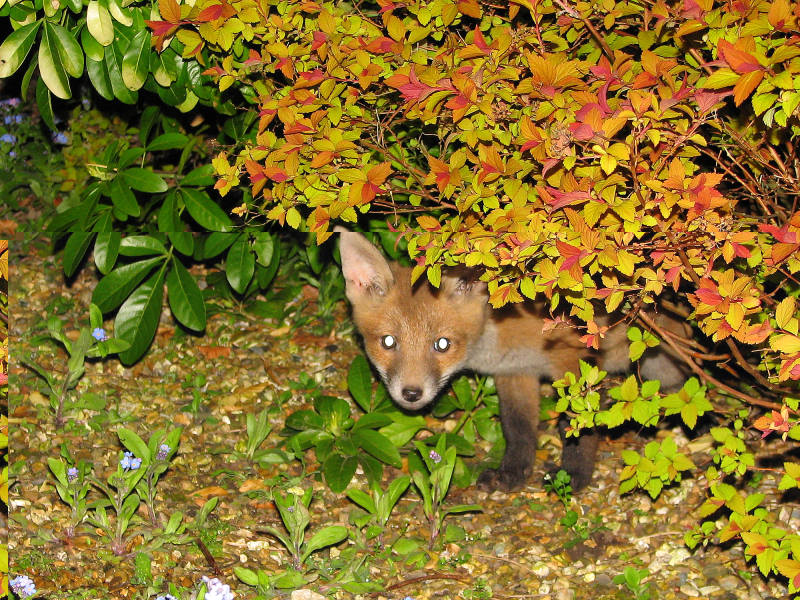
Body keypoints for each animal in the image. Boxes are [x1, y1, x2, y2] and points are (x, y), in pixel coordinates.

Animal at [336, 228, 687, 491]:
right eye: (388, 342)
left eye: (442, 344)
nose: (411, 394)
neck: (501, 329)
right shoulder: (515, 372)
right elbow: (518, 429)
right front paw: (513, 471)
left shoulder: (573, 358)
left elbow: (578, 422)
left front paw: (575, 472)